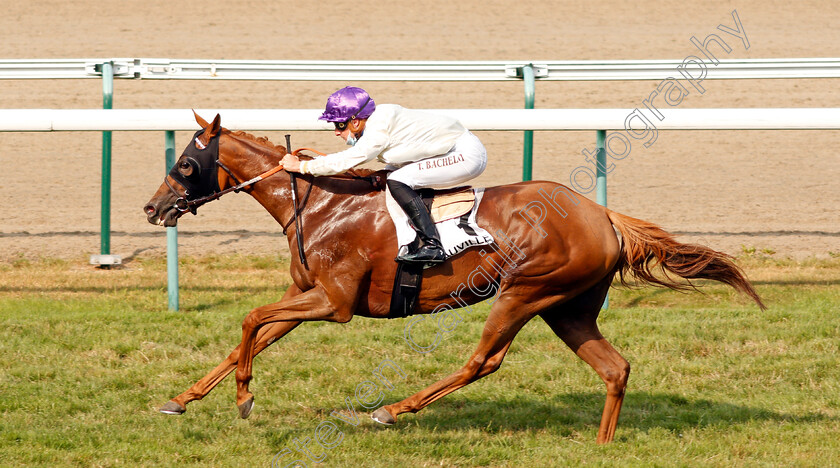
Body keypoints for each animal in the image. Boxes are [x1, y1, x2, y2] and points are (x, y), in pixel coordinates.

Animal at [143, 113, 760, 442]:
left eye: (185, 164)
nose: (153, 209)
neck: (317, 202)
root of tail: (602, 214)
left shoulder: (334, 302)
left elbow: (251, 320)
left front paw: (245, 398)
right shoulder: (305, 292)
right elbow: (249, 337)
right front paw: (182, 398)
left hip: (526, 292)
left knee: (483, 361)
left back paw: (390, 409)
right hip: (569, 307)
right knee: (615, 368)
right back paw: (604, 443)